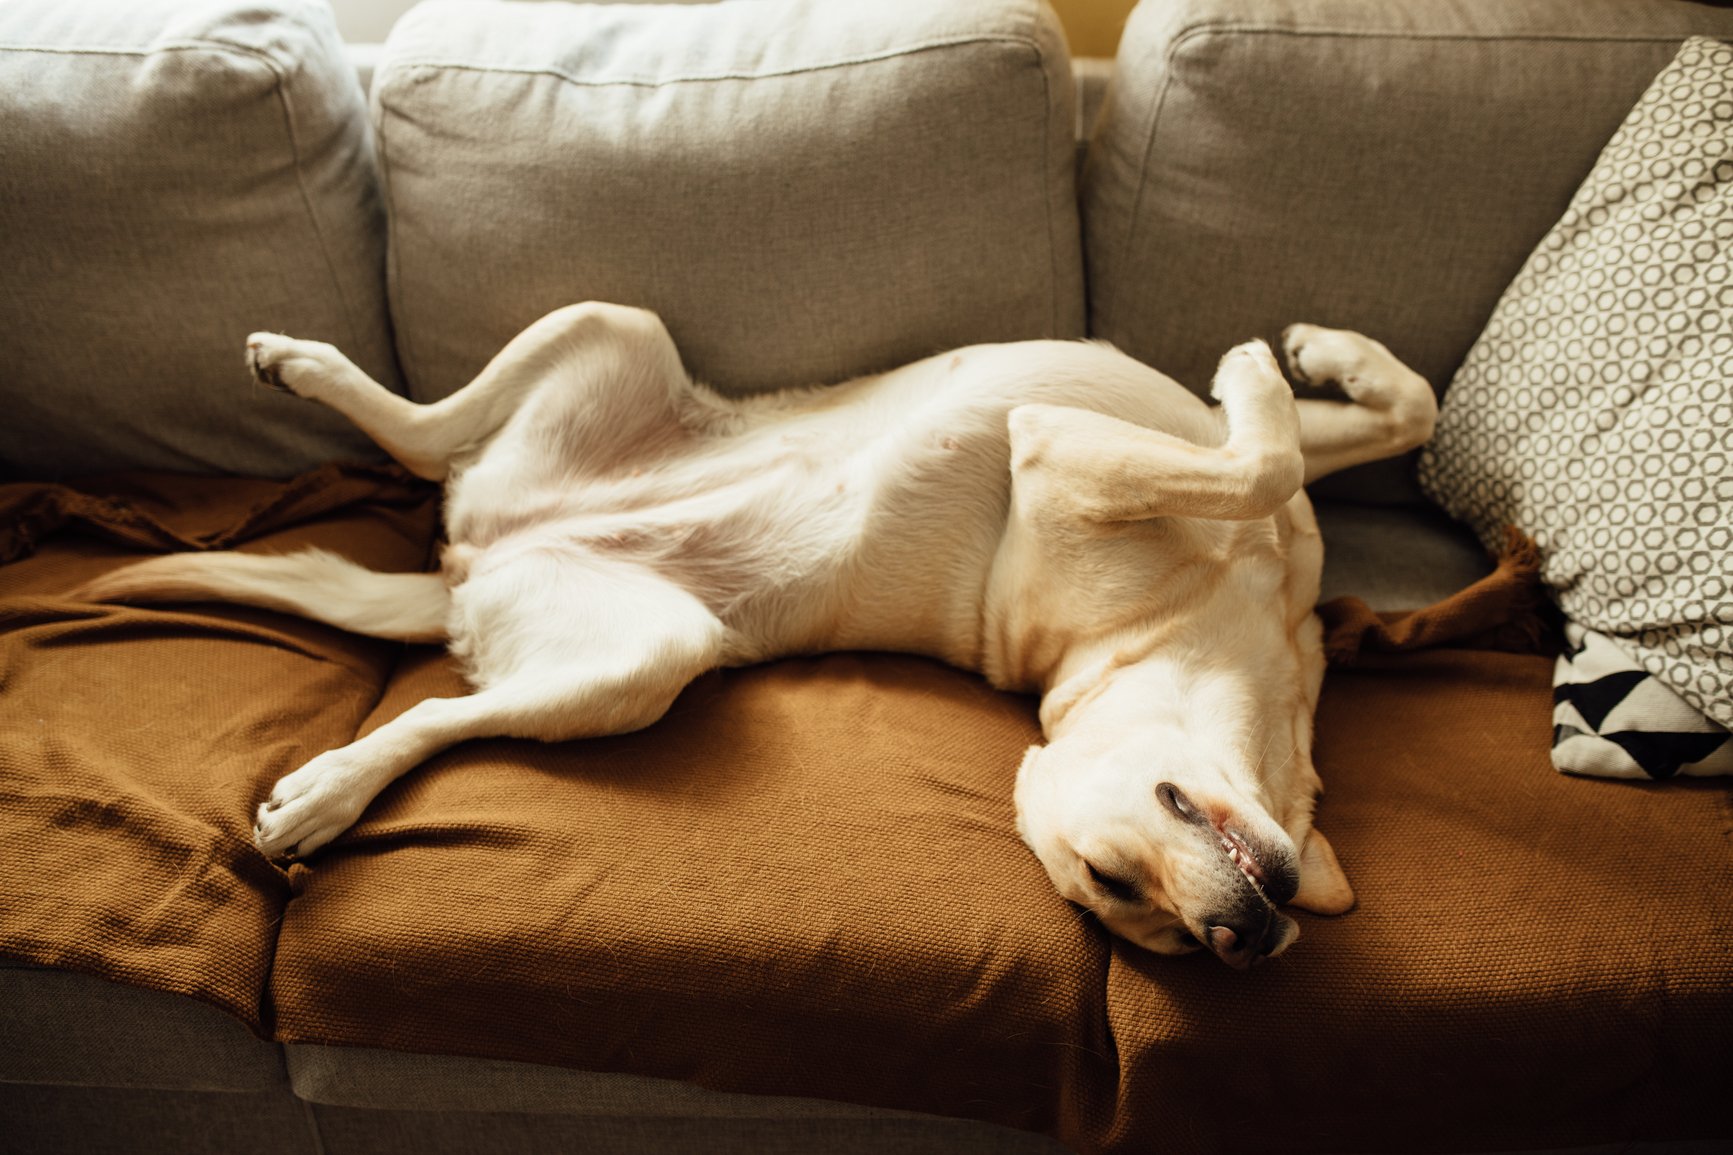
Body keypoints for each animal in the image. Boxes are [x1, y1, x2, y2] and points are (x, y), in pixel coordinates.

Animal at [81, 303, 1434, 964]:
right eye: (1110, 883)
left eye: (1184, 946)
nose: (1239, 942)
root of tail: (473, 556)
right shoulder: (1058, 454)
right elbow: (1263, 453)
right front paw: (1273, 364)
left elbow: (1387, 421)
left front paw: (1327, 358)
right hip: (623, 470)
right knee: (428, 655)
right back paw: (329, 782)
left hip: (622, 545)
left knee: (426, 464)